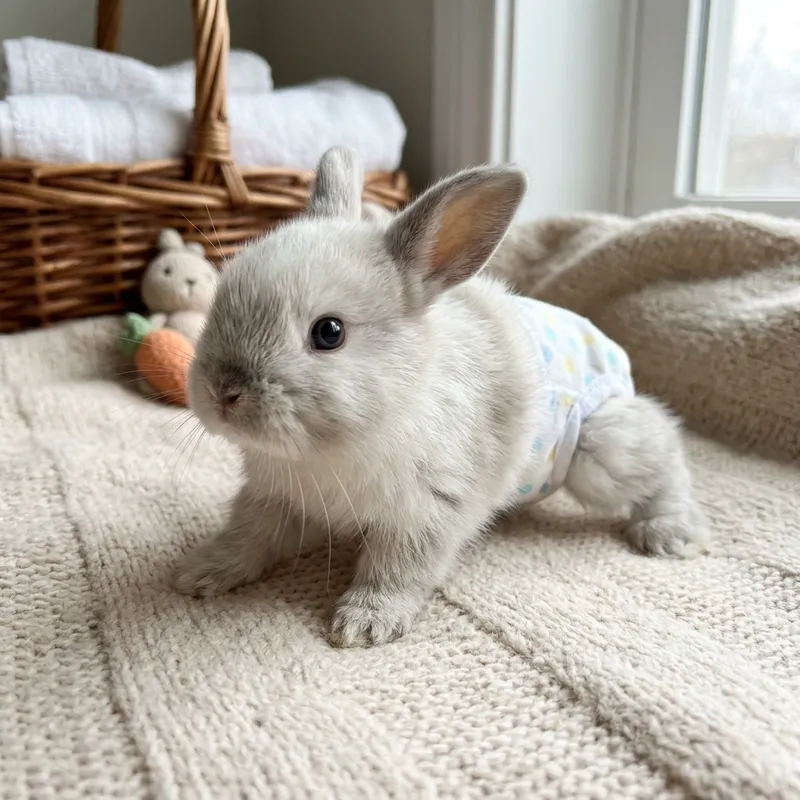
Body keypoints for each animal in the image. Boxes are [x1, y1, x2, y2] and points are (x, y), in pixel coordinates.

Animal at [175, 146, 710, 647]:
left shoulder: (426, 514)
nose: (223, 393)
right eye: (218, 302)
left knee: (667, 462)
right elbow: (248, 537)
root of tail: (616, 358)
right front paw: (200, 572)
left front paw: (365, 625)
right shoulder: (275, 498)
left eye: (329, 332)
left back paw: (668, 534)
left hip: (598, 453)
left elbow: (397, 570)